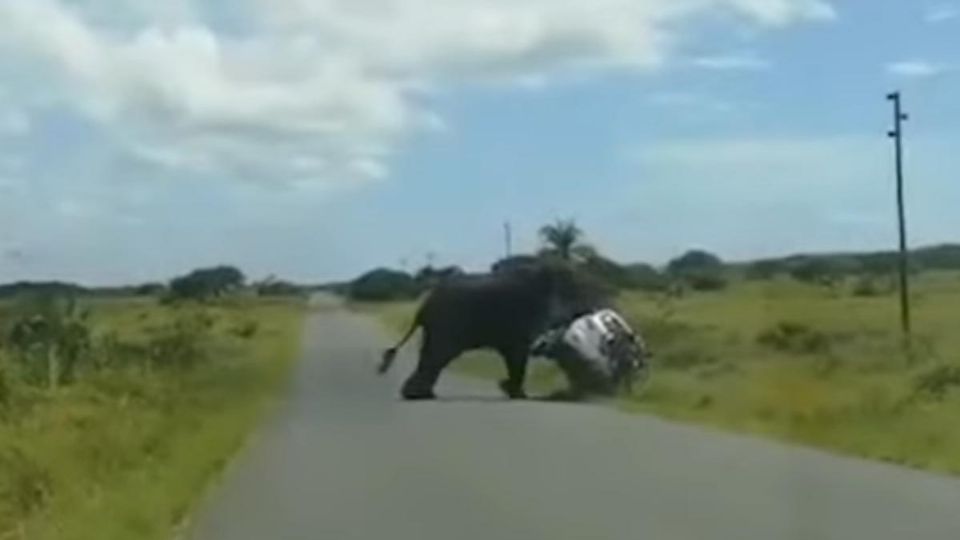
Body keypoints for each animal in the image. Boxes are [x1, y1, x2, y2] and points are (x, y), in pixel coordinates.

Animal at [376, 262, 592, 400]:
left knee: (432, 356)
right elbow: (518, 353)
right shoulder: (522, 317)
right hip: (447, 324)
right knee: (437, 356)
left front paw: (508, 389)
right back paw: (418, 395)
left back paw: (422, 394)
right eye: (578, 294)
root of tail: (423, 307)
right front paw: (517, 394)